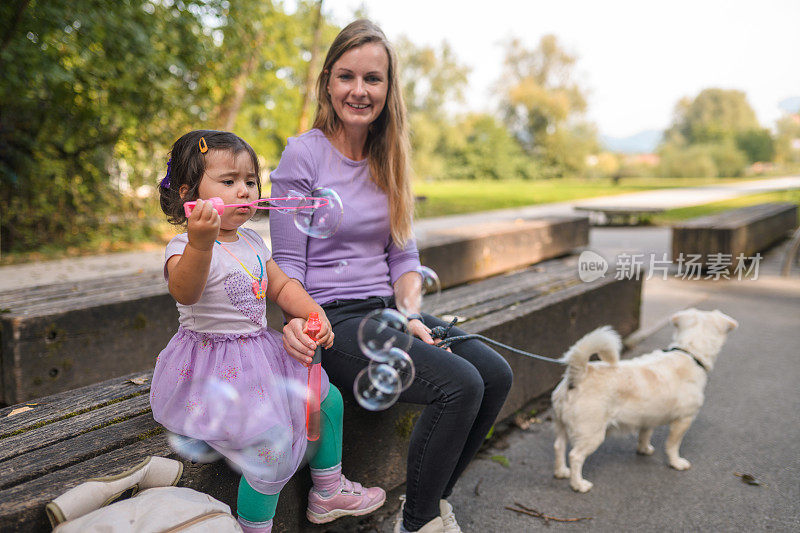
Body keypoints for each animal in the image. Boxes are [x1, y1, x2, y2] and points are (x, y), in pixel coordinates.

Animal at [552, 308, 736, 490]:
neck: (689, 352)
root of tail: (579, 375)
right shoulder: (683, 420)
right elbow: (672, 445)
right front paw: (676, 462)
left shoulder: (648, 417)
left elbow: (645, 434)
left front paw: (644, 449)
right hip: (591, 434)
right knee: (575, 456)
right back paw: (578, 484)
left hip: (562, 425)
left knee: (559, 446)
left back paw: (561, 472)